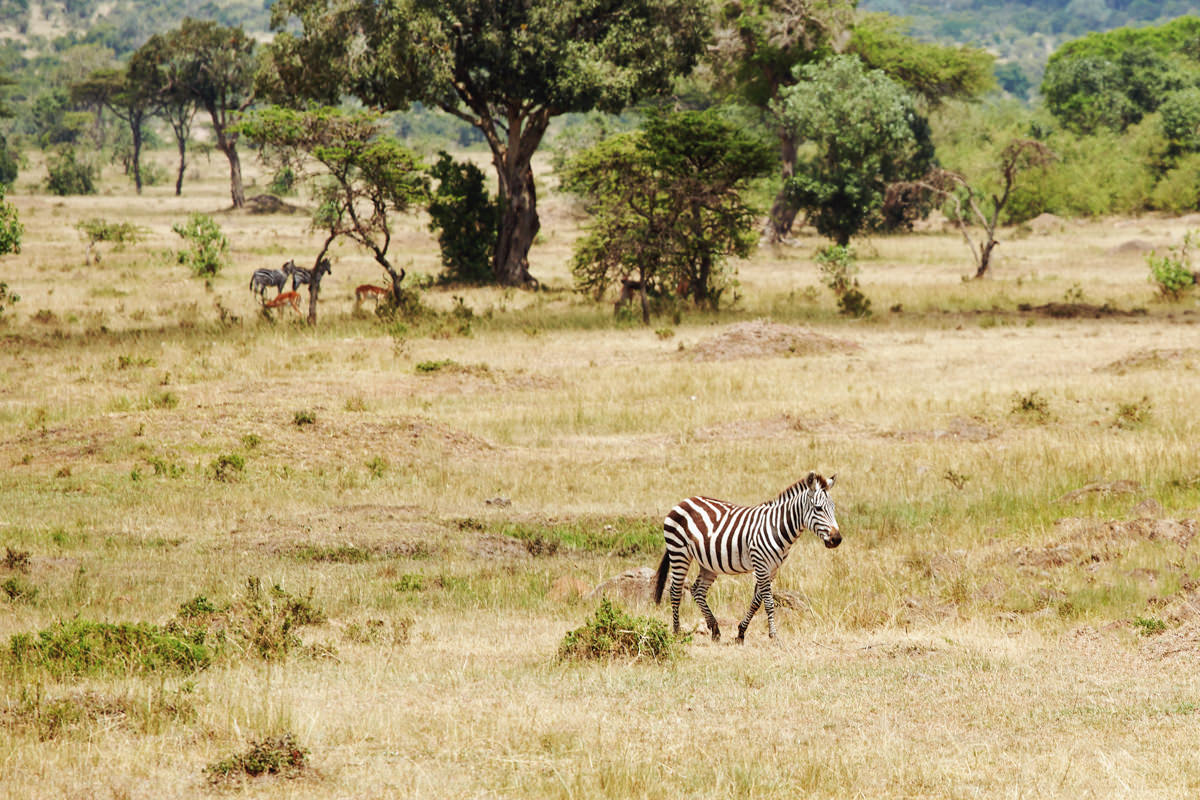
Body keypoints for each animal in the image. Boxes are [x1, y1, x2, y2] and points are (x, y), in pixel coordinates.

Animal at [657, 472, 844, 642]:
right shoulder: (760, 564)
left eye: (833, 507)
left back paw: (715, 629)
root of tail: (684, 501)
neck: (778, 526)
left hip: (708, 563)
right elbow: (768, 603)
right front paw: (774, 635)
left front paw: (741, 633)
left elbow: (756, 602)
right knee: (675, 591)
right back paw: (676, 632)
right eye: (818, 508)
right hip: (679, 552)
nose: (837, 539)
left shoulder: (772, 569)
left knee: (698, 590)